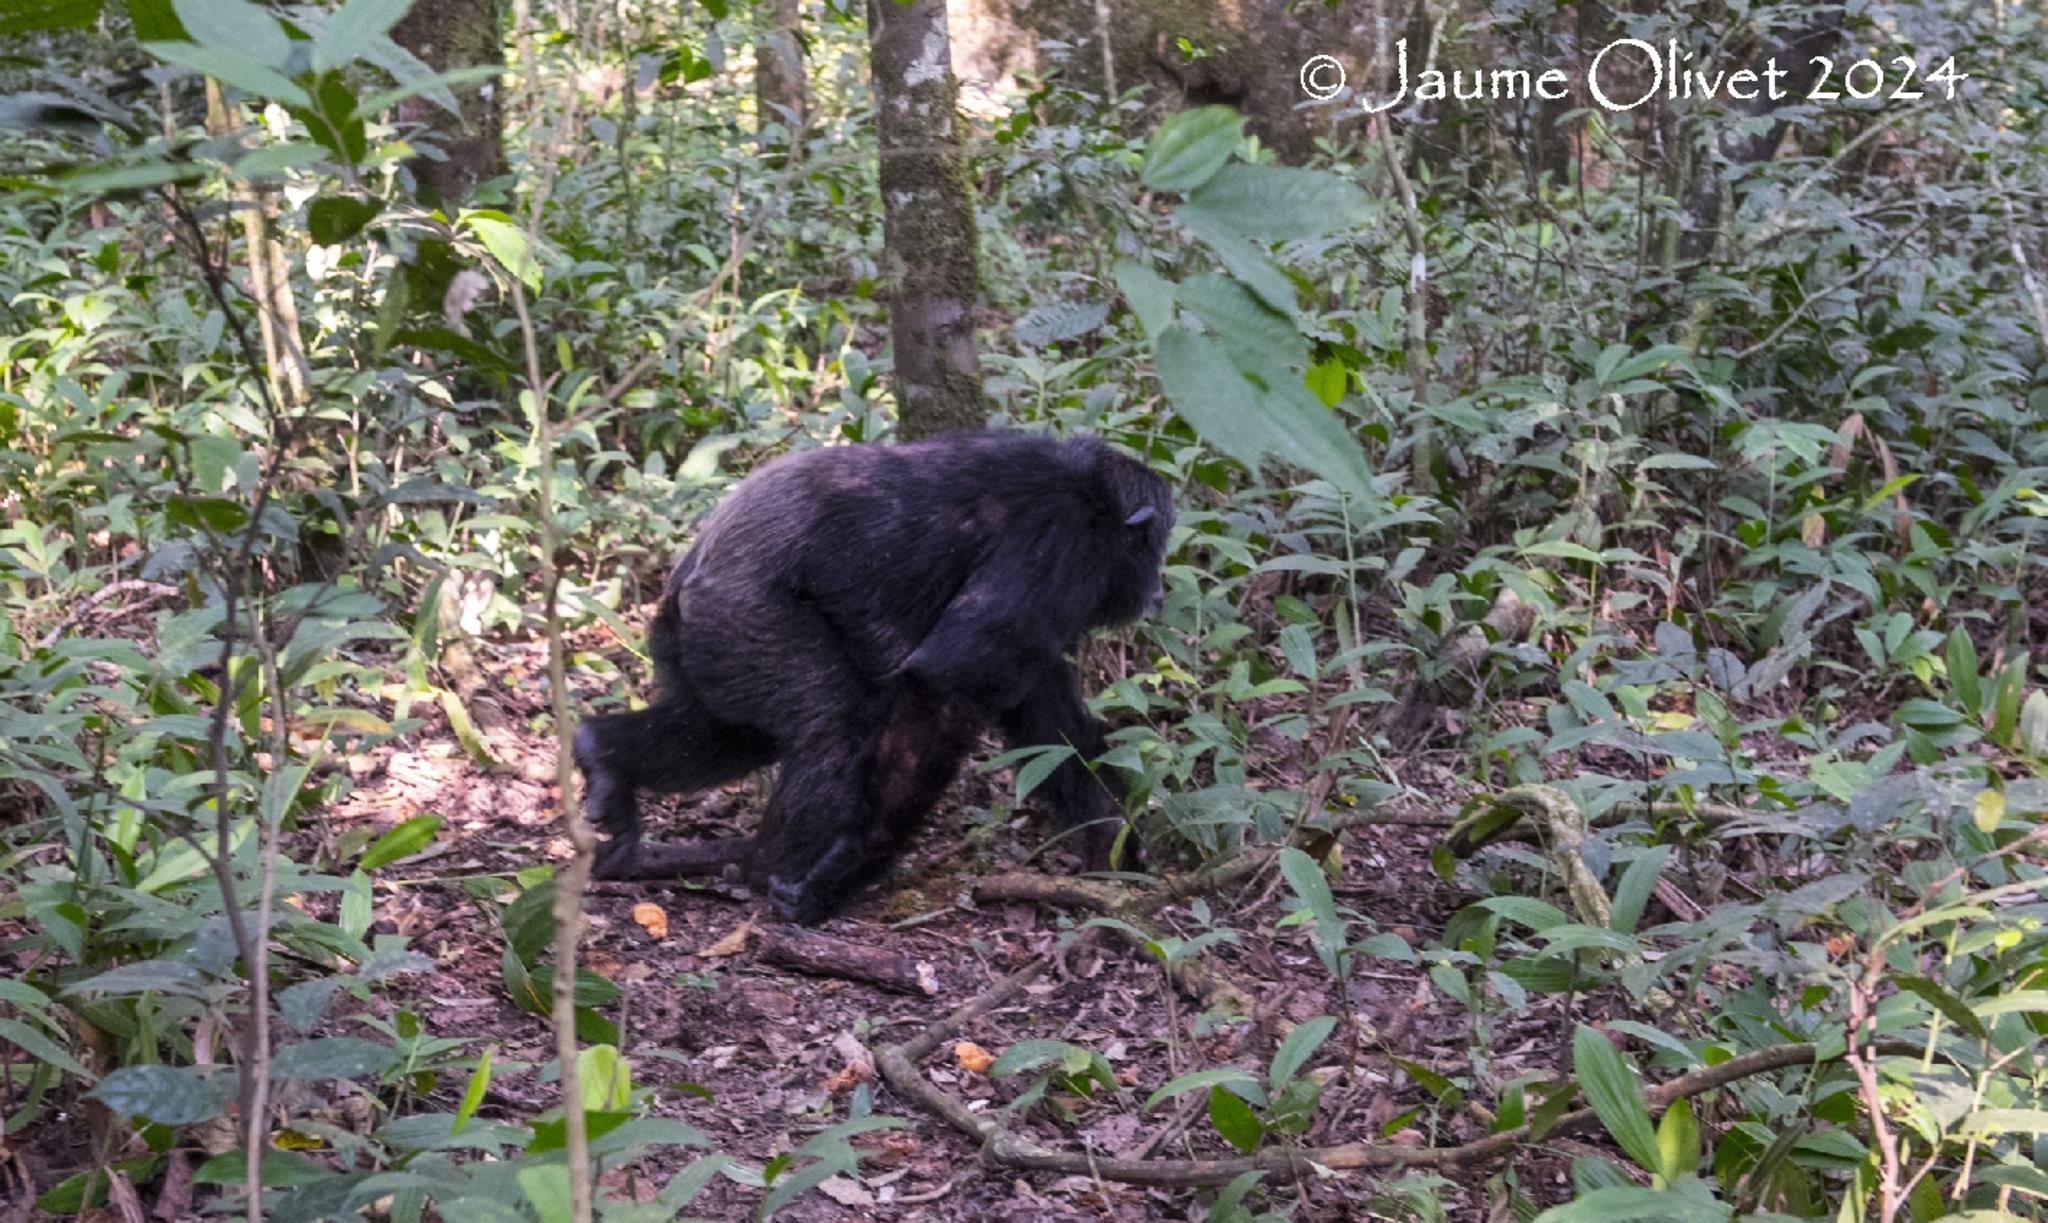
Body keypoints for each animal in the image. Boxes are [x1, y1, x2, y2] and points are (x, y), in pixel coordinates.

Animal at [577, 434, 1179, 921]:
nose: (1159, 588)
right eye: (1157, 543)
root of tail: (687, 571)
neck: (1094, 502)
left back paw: (606, 760)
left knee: (721, 734)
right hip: (748, 615)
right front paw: (846, 867)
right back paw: (777, 870)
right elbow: (945, 687)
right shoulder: (1059, 547)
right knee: (834, 725)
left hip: (706, 645)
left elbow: (1054, 726)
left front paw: (1116, 846)